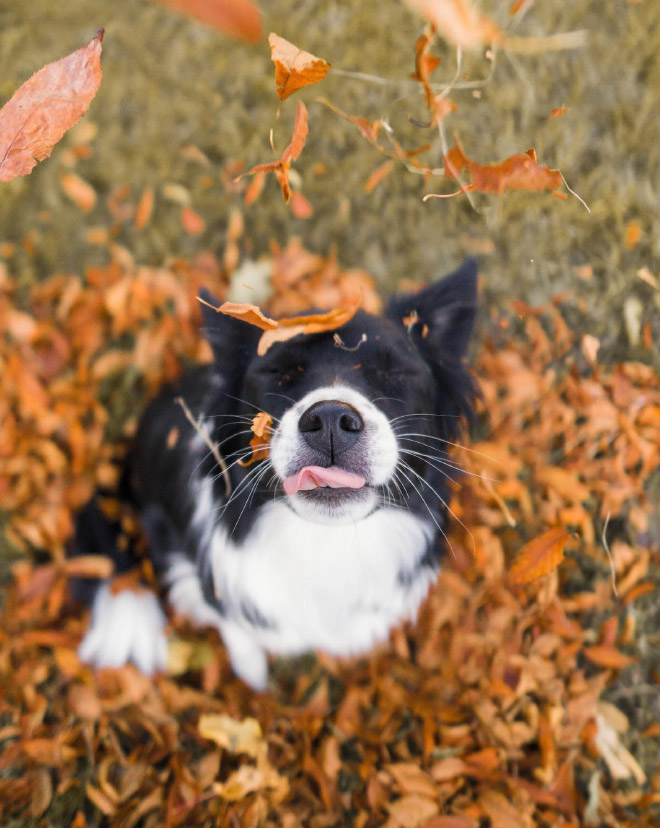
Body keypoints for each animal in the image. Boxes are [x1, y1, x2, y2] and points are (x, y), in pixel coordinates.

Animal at [76, 258, 480, 684]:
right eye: (278, 373)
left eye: (393, 373)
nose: (331, 420)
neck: (327, 545)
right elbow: (233, 624)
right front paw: (251, 671)